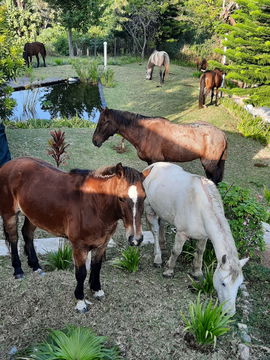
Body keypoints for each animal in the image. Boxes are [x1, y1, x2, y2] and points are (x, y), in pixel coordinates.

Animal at [0, 158, 148, 312]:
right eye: (121, 198)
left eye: (144, 197)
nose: (136, 239)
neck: (95, 205)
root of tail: (10, 164)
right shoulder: (79, 247)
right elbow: (81, 273)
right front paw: (80, 301)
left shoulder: (102, 244)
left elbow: (96, 266)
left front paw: (97, 290)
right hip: (9, 214)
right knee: (14, 239)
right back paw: (18, 270)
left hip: (33, 215)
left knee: (27, 234)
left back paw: (36, 266)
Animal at [93, 108, 228, 184]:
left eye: (104, 122)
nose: (95, 140)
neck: (145, 132)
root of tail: (223, 135)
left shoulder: (156, 160)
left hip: (209, 164)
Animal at [143, 162, 249, 314]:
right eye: (223, 283)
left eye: (239, 284)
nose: (229, 313)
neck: (200, 206)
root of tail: (152, 166)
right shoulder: (181, 233)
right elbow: (176, 251)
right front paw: (169, 271)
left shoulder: (204, 236)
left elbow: (200, 252)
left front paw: (197, 272)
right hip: (149, 207)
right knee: (156, 231)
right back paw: (158, 257)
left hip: (162, 210)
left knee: (162, 224)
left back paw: (163, 246)